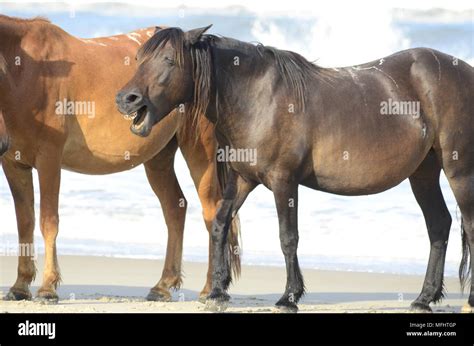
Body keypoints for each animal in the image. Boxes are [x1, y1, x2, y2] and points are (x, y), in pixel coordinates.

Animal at [0, 16, 241, 302]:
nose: (1, 141)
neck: (30, 73)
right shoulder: (14, 165)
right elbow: (24, 222)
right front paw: (19, 286)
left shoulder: (49, 158)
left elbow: (48, 221)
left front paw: (48, 287)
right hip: (158, 157)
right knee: (175, 208)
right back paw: (162, 285)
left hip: (199, 152)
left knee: (212, 212)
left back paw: (208, 289)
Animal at [115, 26, 474, 314]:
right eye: (139, 58)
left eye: (169, 61)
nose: (126, 99)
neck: (259, 98)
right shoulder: (243, 180)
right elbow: (220, 224)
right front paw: (217, 292)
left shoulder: (284, 181)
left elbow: (288, 237)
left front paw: (289, 297)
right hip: (423, 173)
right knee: (439, 225)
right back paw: (424, 299)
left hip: (458, 171)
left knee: (467, 225)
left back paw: (466, 301)